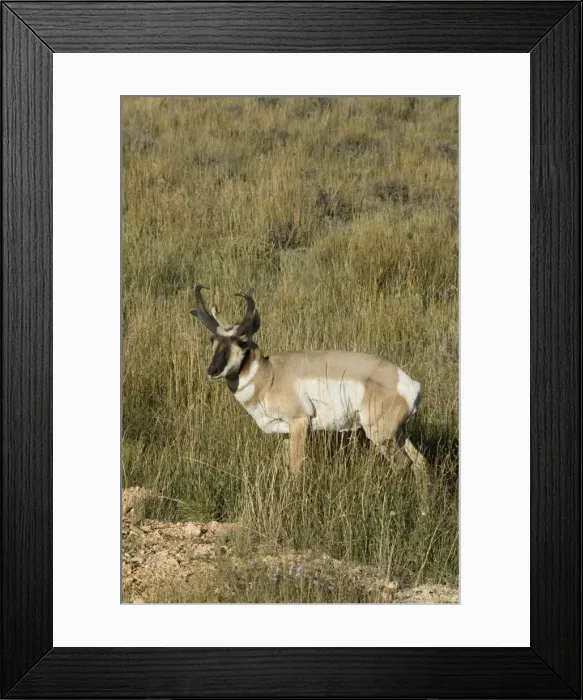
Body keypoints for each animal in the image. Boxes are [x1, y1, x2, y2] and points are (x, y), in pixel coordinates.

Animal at [191, 285, 428, 477]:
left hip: (380, 433)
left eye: (242, 341)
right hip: (398, 433)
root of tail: (408, 383)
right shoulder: (284, 433)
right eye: (212, 339)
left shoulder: (299, 423)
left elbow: (296, 468)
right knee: (420, 462)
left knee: (403, 464)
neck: (269, 375)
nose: (213, 371)